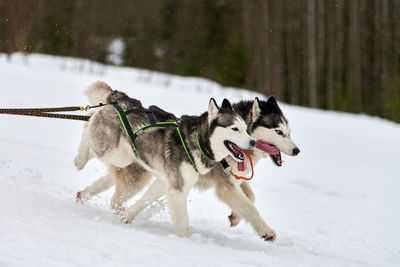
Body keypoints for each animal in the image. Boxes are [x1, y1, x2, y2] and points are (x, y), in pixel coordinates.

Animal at [76, 94, 298, 243]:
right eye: (279, 132)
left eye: (289, 132)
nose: (297, 150)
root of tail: (121, 100)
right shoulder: (223, 185)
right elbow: (249, 206)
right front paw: (265, 230)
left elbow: (250, 197)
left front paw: (235, 217)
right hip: (121, 161)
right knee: (89, 129)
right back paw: (80, 158)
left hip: (129, 168)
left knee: (109, 189)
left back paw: (83, 196)